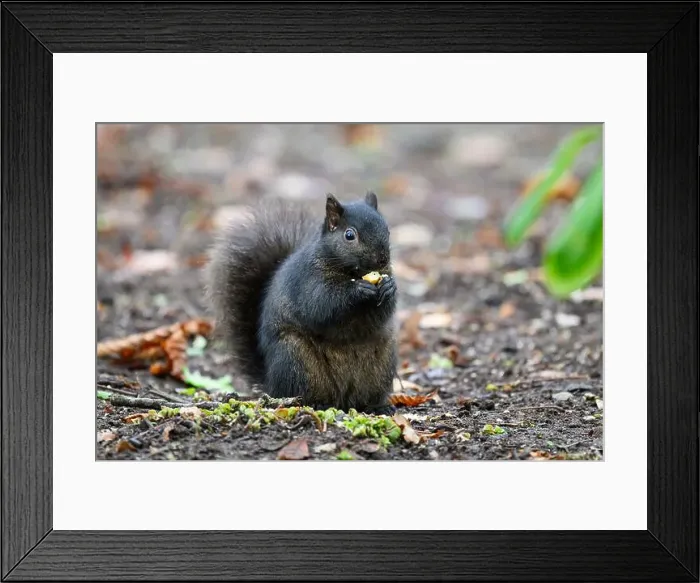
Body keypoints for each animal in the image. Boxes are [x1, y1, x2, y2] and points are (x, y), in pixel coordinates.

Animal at [205, 191, 398, 414]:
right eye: (349, 235)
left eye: (387, 230)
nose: (382, 259)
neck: (351, 272)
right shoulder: (307, 280)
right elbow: (320, 304)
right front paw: (358, 290)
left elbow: (382, 314)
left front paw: (389, 287)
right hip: (295, 359)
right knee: (299, 393)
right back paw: (316, 403)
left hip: (382, 365)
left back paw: (378, 407)